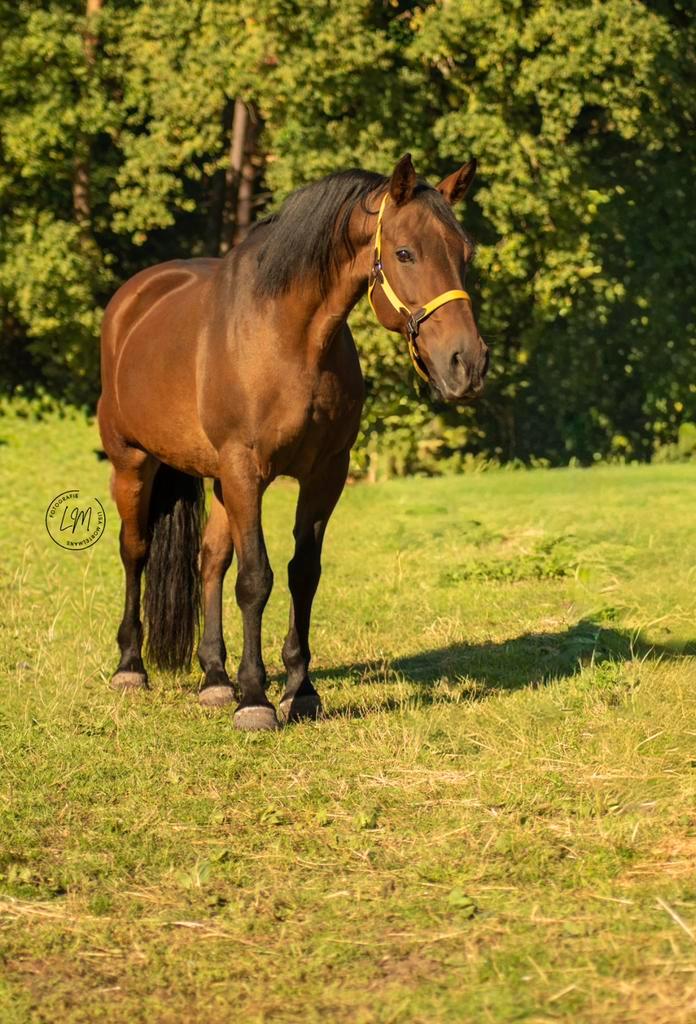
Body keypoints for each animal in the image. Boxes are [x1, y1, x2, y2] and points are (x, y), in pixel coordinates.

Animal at [97, 153, 489, 730]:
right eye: (405, 252)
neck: (289, 338)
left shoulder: (323, 473)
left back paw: (214, 678)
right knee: (135, 550)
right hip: (133, 463)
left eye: (466, 254)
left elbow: (302, 573)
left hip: (217, 480)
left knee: (210, 560)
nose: (468, 364)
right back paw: (131, 667)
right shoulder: (246, 470)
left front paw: (299, 691)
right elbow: (255, 578)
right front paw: (256, 698)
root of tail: (132, 300)